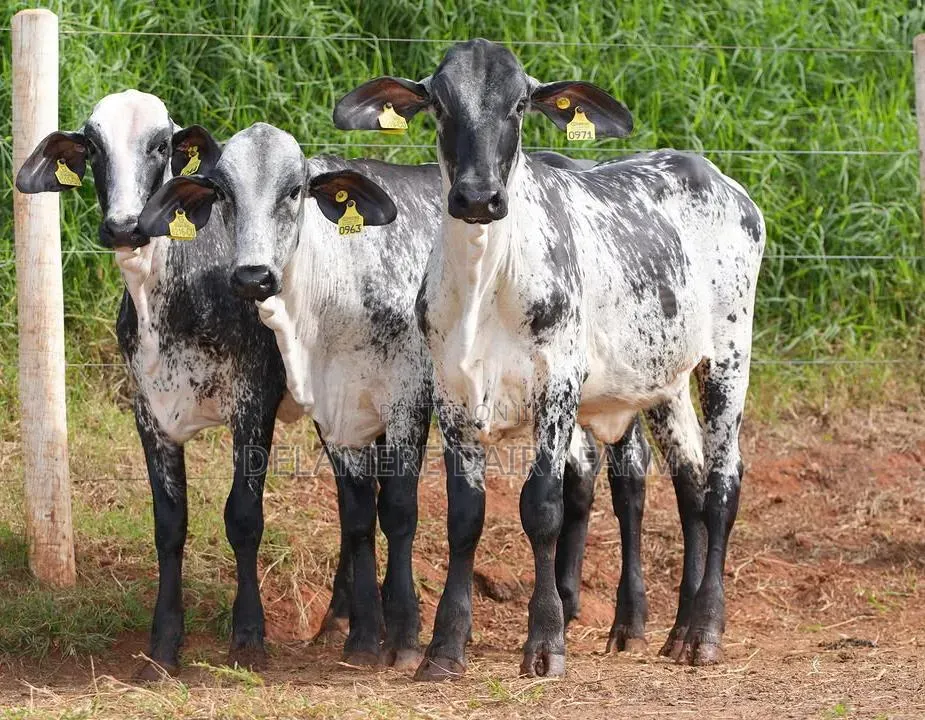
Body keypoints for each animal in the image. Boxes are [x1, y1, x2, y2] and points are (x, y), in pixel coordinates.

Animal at [15, 92, 365, 678]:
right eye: (93, 147)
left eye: (162, 145)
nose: (124, 226)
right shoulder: (149, 411)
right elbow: (169, 524)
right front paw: (162, 645)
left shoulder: (253, 401)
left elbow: (243, 516)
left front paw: (248, 638)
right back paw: (338, 618)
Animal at [334, 39, 766, 679]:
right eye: (439, 103)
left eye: (519, 104)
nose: (478, 196)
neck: (485, 284)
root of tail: (716, 177)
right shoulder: (452, 396)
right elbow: (465, 517)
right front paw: (444, 647)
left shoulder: (557, 388)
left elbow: (542, 507)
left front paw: (545, 641)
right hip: (662, 382)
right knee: (687, 480)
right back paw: (669, 627)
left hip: (729, 357)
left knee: (722, 483)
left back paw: (704, 631)